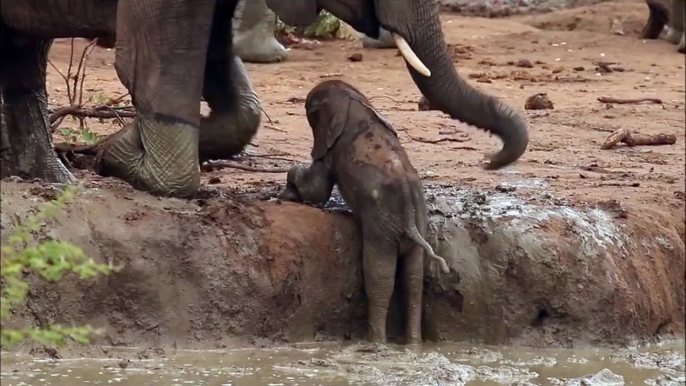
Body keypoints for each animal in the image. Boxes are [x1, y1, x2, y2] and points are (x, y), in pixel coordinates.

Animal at [280, 78, 452, 344]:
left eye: (310, 112)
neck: (351, 96)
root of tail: (410, 218)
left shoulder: (331, 148)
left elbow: (317, 188)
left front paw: (287, 191)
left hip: (381, 225)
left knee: (379, 275)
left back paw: (375, 342)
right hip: (417, 222)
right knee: (413, 277)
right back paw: (413, 345)